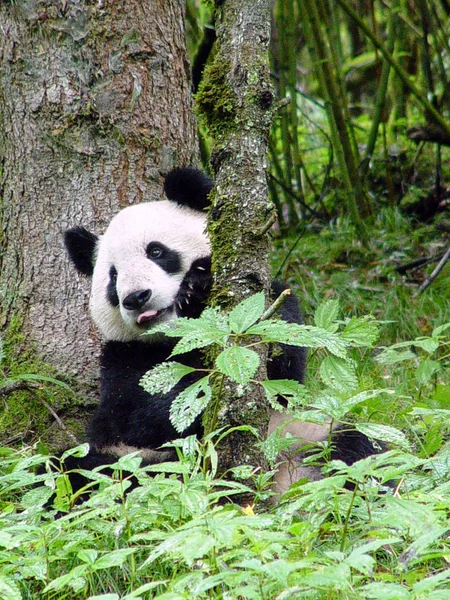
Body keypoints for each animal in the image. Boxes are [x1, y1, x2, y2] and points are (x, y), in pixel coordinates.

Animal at [59, 165, 376, 496]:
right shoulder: (124, 355)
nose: (136, 297)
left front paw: (197, 285)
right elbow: (144, 414)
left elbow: (283, 370)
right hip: (130, 459)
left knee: (356, 448)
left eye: (156, 251)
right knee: (85, 470)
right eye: (113, 277)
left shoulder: (270, 303)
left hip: (306, 433)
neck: (175, 336)